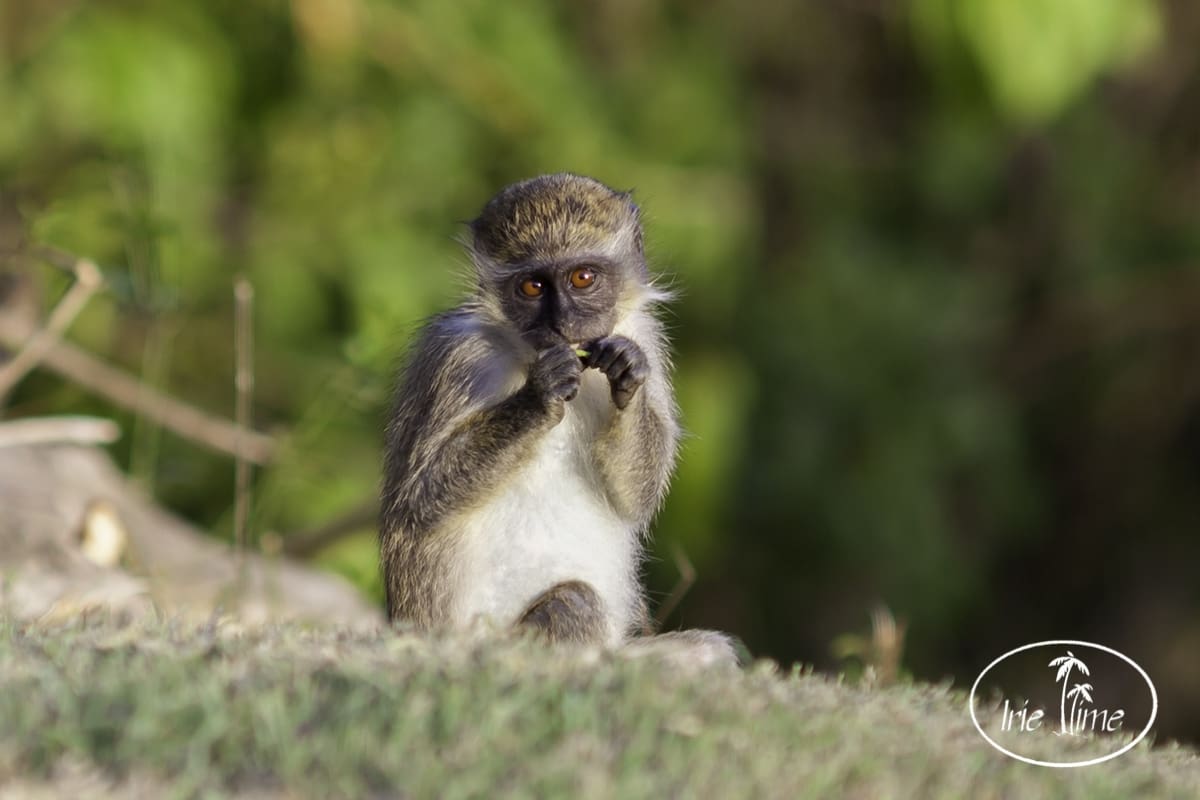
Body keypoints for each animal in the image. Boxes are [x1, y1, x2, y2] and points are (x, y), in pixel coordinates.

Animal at [379, 173, 736, 665]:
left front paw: (626, 373)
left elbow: (637, 497)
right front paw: (540, 394)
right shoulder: (455, 355)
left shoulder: (644, 333)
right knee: (574, 603)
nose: (564, 321)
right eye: (532, 287)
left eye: (582, 277)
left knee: (710, 653)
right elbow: (420, 495)